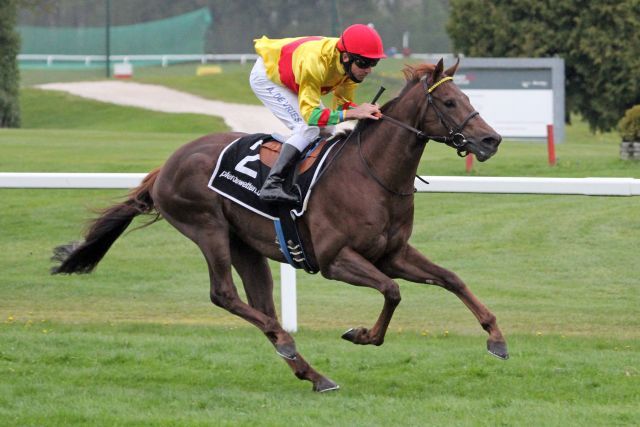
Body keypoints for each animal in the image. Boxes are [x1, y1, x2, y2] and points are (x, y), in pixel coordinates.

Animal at [52, 58, 508, 392]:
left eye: (465, 95)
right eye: (447, 102)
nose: (491, 140)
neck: (372, 174)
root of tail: (166, 166)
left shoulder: (392, 253)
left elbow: (450, 278)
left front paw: (496, 338)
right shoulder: (335, 260)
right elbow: (392, 292)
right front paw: (361, 334)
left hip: (246, 247)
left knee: (260, 304)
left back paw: (311, 372)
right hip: (207, 227)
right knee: (224, 295)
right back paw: (290, 345)